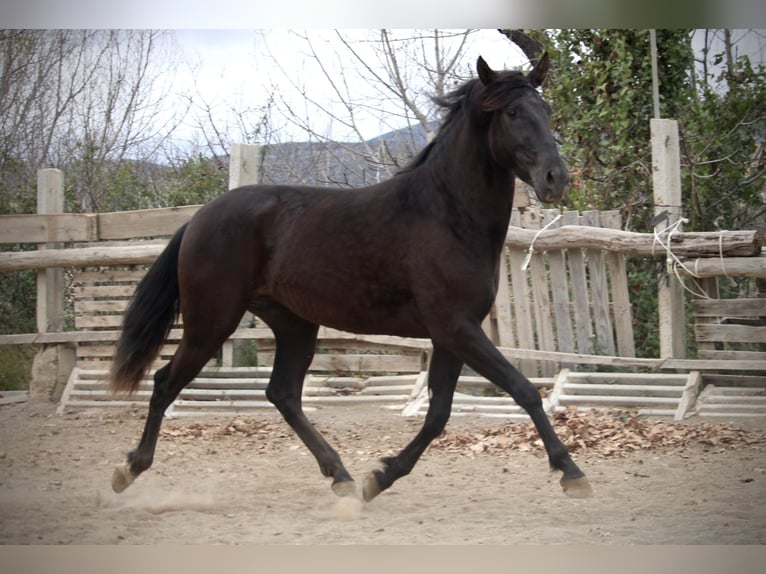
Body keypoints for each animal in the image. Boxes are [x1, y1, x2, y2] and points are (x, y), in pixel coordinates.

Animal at [111, 55, 596, 504]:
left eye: (546, 108)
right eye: (512, 112)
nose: (556, 178)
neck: (447, 215)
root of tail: (199, 218)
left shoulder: (450, 335)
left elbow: (439, 413)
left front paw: (379, 478)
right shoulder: (457, 329)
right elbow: (522, 390)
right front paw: (571, 472)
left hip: (294, 324)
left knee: (282, 393)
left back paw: (341, 477)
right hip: (211, 323)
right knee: (165, 382)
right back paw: (128, 469)